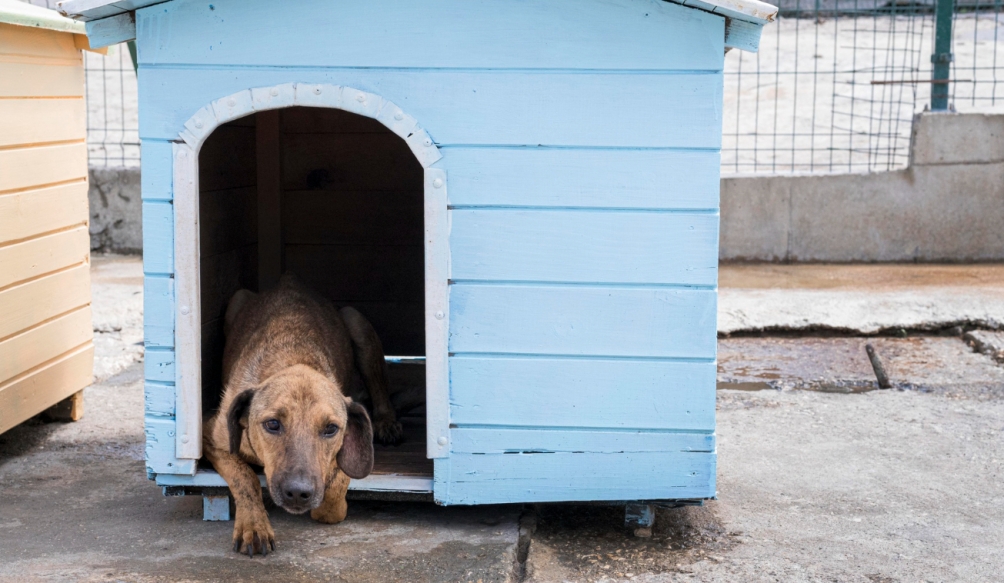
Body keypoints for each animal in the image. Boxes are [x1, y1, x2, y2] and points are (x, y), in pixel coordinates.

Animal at [201, 272, 401, 553]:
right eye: (272, 424)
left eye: (331, 428)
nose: (298, 493)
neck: (293, 360)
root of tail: (289, 280)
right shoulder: (211, 438)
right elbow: (245, 477)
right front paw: (254, 526)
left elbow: (333, 495)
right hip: (237, 301)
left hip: (355, 320)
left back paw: (386, 421)